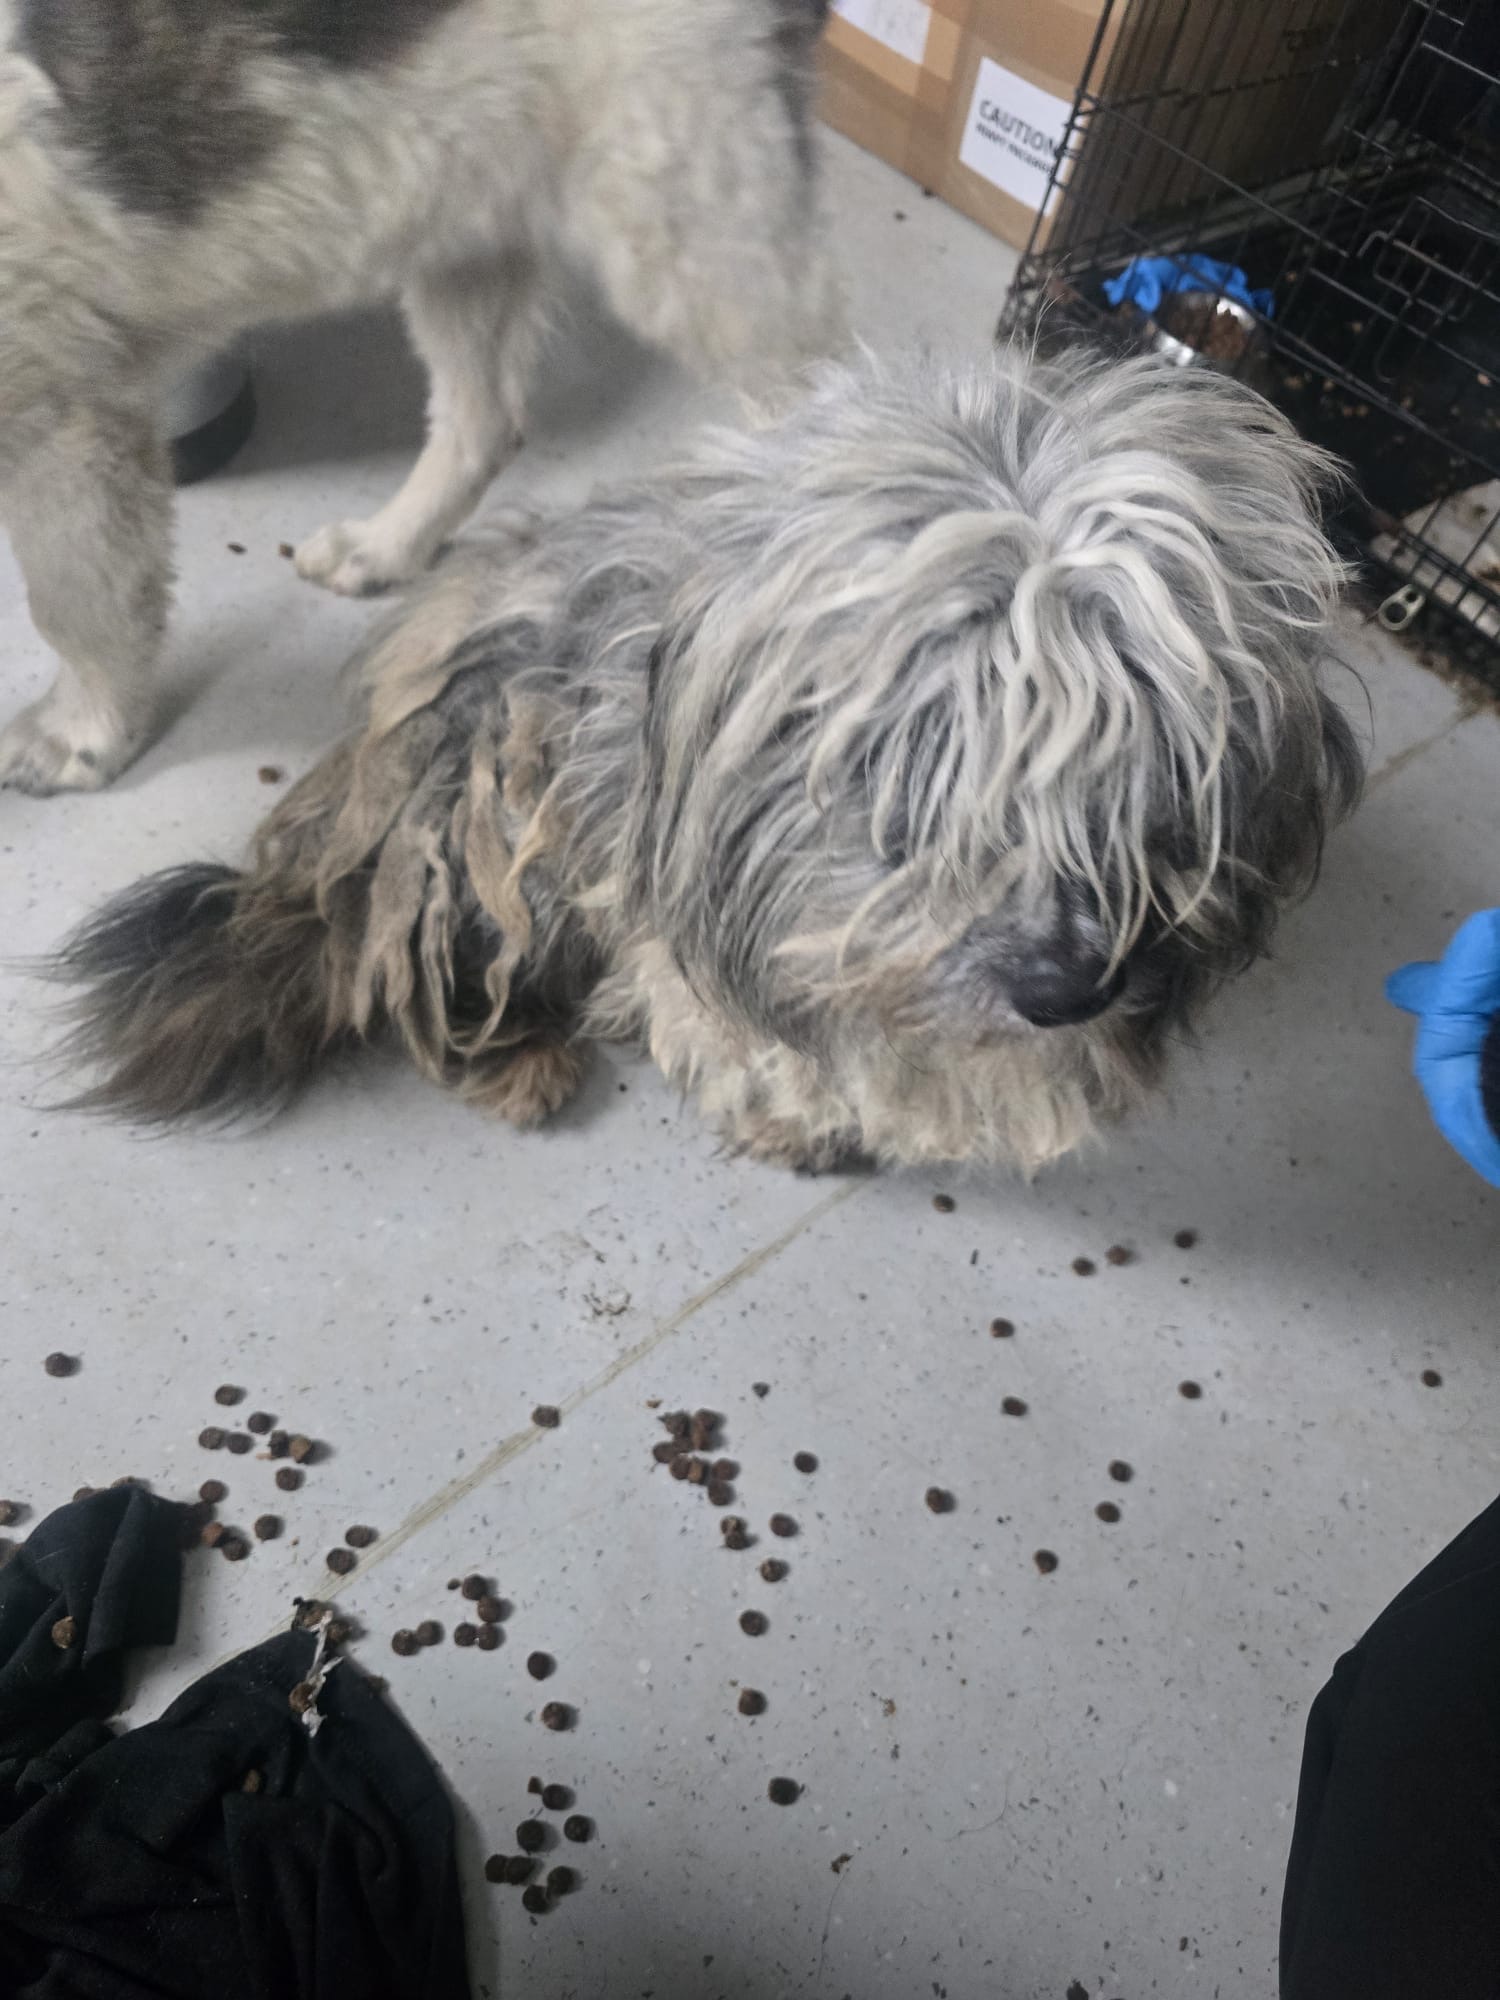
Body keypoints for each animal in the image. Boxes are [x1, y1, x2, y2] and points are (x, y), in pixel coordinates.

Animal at [0, 0, 838, 795]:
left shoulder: (65, 415)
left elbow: (77, 605)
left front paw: (77, 737)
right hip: (464, 207)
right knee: (485, 421)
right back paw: (384, 546)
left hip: (692, 221)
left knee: (824, 418)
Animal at [51, 347, 1363, 1174]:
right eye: (925, 784)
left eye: (1157, 772)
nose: (1067, 991)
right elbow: (741, 1022)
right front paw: (795, 1111)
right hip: (494, 784)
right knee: (411, 967)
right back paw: (515, 1054)